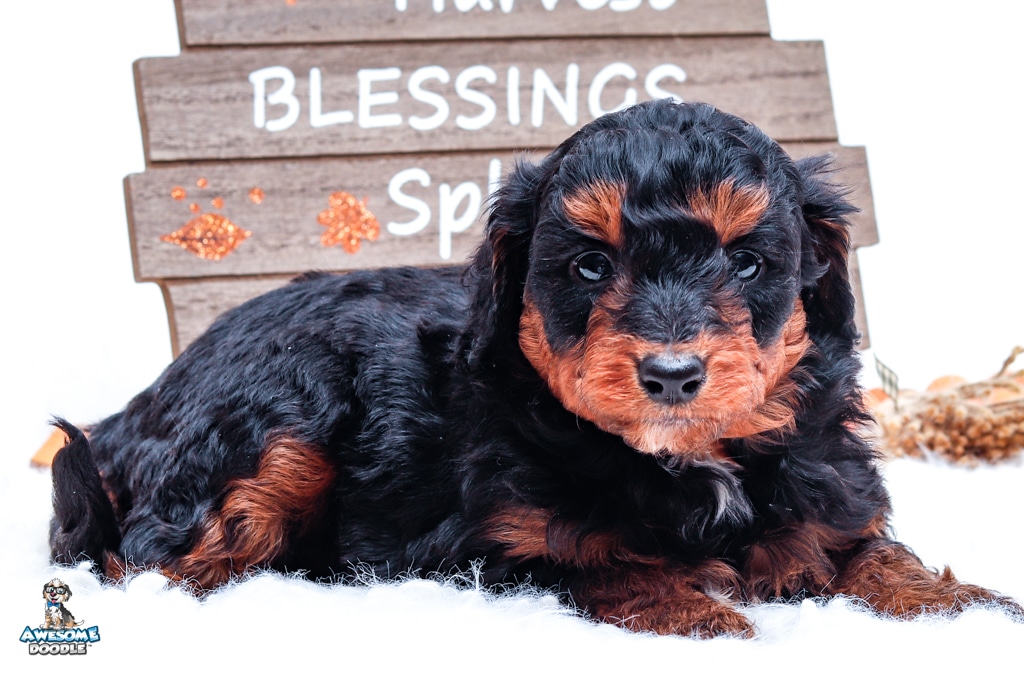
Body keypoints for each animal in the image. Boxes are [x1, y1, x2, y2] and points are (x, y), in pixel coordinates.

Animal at [50, 100, 1020, 637]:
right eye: (589, 265)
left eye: (748, 263)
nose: (672, 373)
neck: (683, 458)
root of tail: (135, 408)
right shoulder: (490, 546)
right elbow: (598, 556)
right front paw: (699, 609)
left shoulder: (832, 495)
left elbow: (872, 552)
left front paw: (967, 608)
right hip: (272, 426)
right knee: (147, 552)